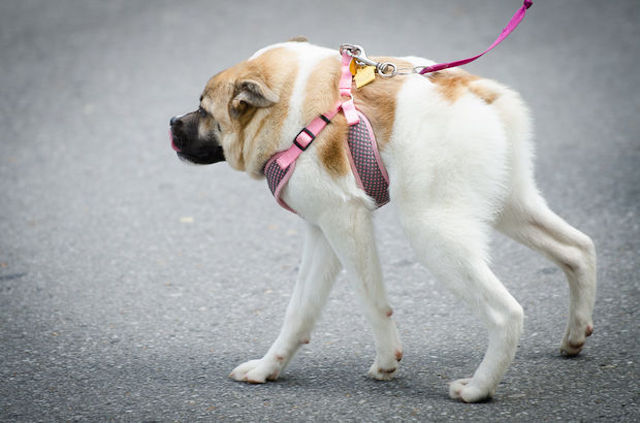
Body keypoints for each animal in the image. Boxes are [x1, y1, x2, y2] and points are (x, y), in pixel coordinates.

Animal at [168, 38, 596, 402]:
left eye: (204, 110)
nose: (171, 121)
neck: (290, 104)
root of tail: (474, 90)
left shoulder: (346, 222)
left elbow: (371, 300)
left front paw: (388, 360)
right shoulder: (322, 232)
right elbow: (300, 310)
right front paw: (267, 368)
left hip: (432, 230)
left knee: (506, 314)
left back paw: (478, 388)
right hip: (512, 207)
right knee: (579, 249)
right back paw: (575, 335)